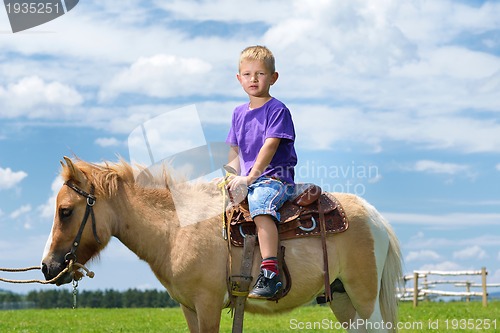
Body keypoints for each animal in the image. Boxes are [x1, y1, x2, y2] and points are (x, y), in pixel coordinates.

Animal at [42, 157, 402, 330]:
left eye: (65, 211)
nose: (47, 266)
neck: (176, 229)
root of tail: (374, 216)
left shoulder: (208, 303)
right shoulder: (188, 307)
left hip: (364, 299)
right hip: (343, 300)